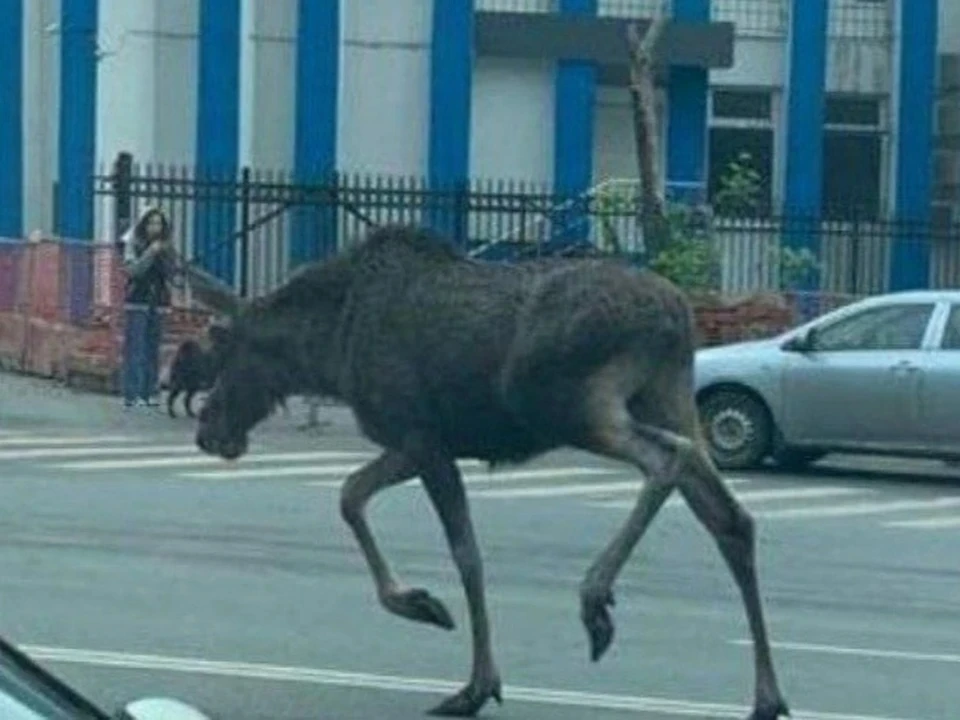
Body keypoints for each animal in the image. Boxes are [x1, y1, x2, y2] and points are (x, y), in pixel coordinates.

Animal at [191, 225, 792, 720]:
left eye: (227, 348)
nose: (208, 430)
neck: (330, 351)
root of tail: (678, 315)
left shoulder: (423, 440)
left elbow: (465, 554)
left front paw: (474, 681)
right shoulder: (412, 444)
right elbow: (349, 495)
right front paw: (421, 604)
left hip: (573, 406)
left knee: (668, 460)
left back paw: (595, 597)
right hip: (664, 396)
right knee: (730, 517)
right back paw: (767, 696)